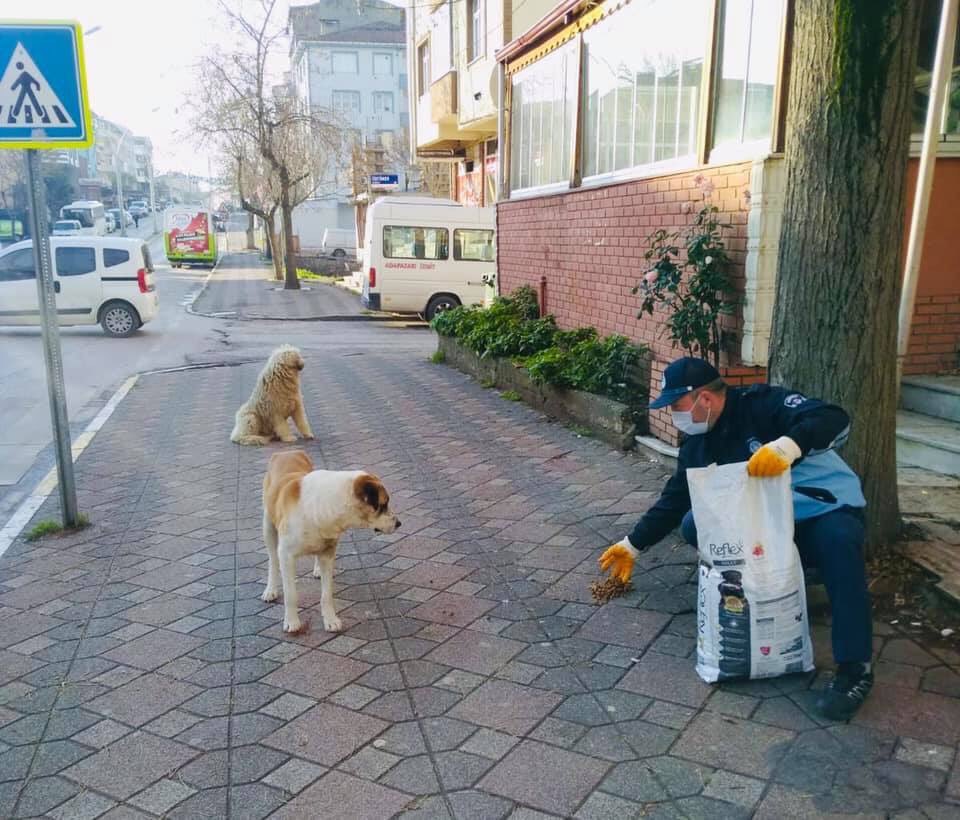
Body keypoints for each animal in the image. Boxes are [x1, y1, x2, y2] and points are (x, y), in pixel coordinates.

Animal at [258, 448, 402, 636]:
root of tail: (287, 452)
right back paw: (270, 590)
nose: (399, 523)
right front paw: (292, 622)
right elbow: (291, 594)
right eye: (383, 505)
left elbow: (326, 595)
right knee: (273, 560)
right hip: (268, 527)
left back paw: (317, 569)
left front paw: (330, 620)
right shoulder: (286, 556)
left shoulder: (328, 553)